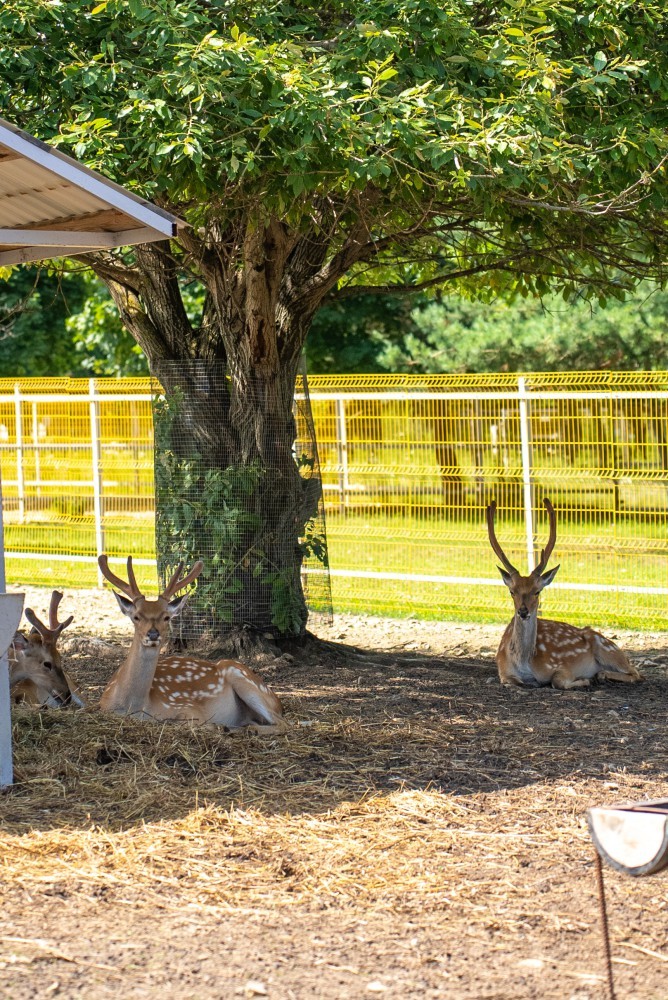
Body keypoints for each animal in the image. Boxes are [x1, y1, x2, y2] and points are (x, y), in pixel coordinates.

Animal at [97, 554, 287, 730]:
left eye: (166, 617)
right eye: (136, 617)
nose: (153, 634)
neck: (133, 706)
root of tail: (278, 701)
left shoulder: (189, 707)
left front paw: (217, 726)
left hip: (241, 676)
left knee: (285, 723)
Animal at [486, 498, 642, 690]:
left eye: (537, 591)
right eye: (511, 591)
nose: (523, 612)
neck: (524, 663)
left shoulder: (563, 666)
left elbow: (557, 681)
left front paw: (586, 679)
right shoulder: (503, 670)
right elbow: (512, 681)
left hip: (606, 647)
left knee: (636, 673)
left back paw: (601, 675)